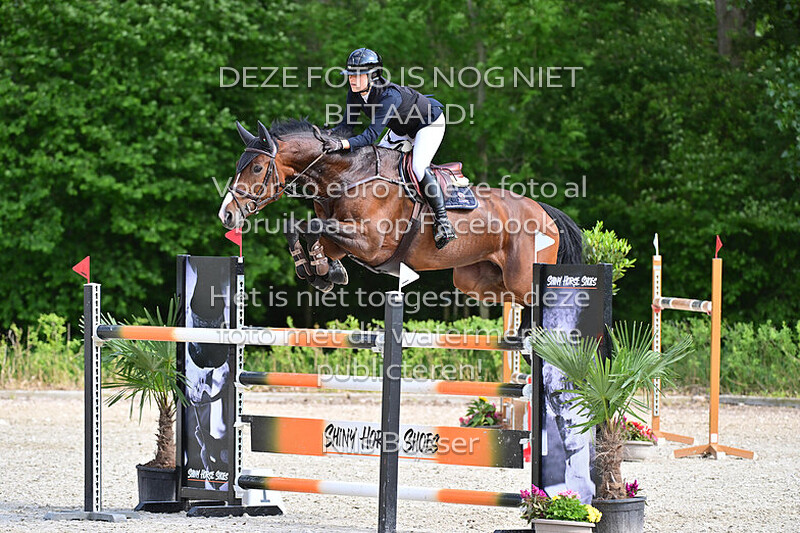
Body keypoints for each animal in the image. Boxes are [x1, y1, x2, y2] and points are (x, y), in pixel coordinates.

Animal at [218, 119, 583, 306]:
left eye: (257, 168)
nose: (227, 215)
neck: (348, 176)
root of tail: (545, 212)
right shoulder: (342, 236)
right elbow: (302, 228)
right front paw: (322, 271)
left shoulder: (369, 243)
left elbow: (308, 226)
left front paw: (320, 270)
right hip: (478, 280)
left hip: (522, 278)